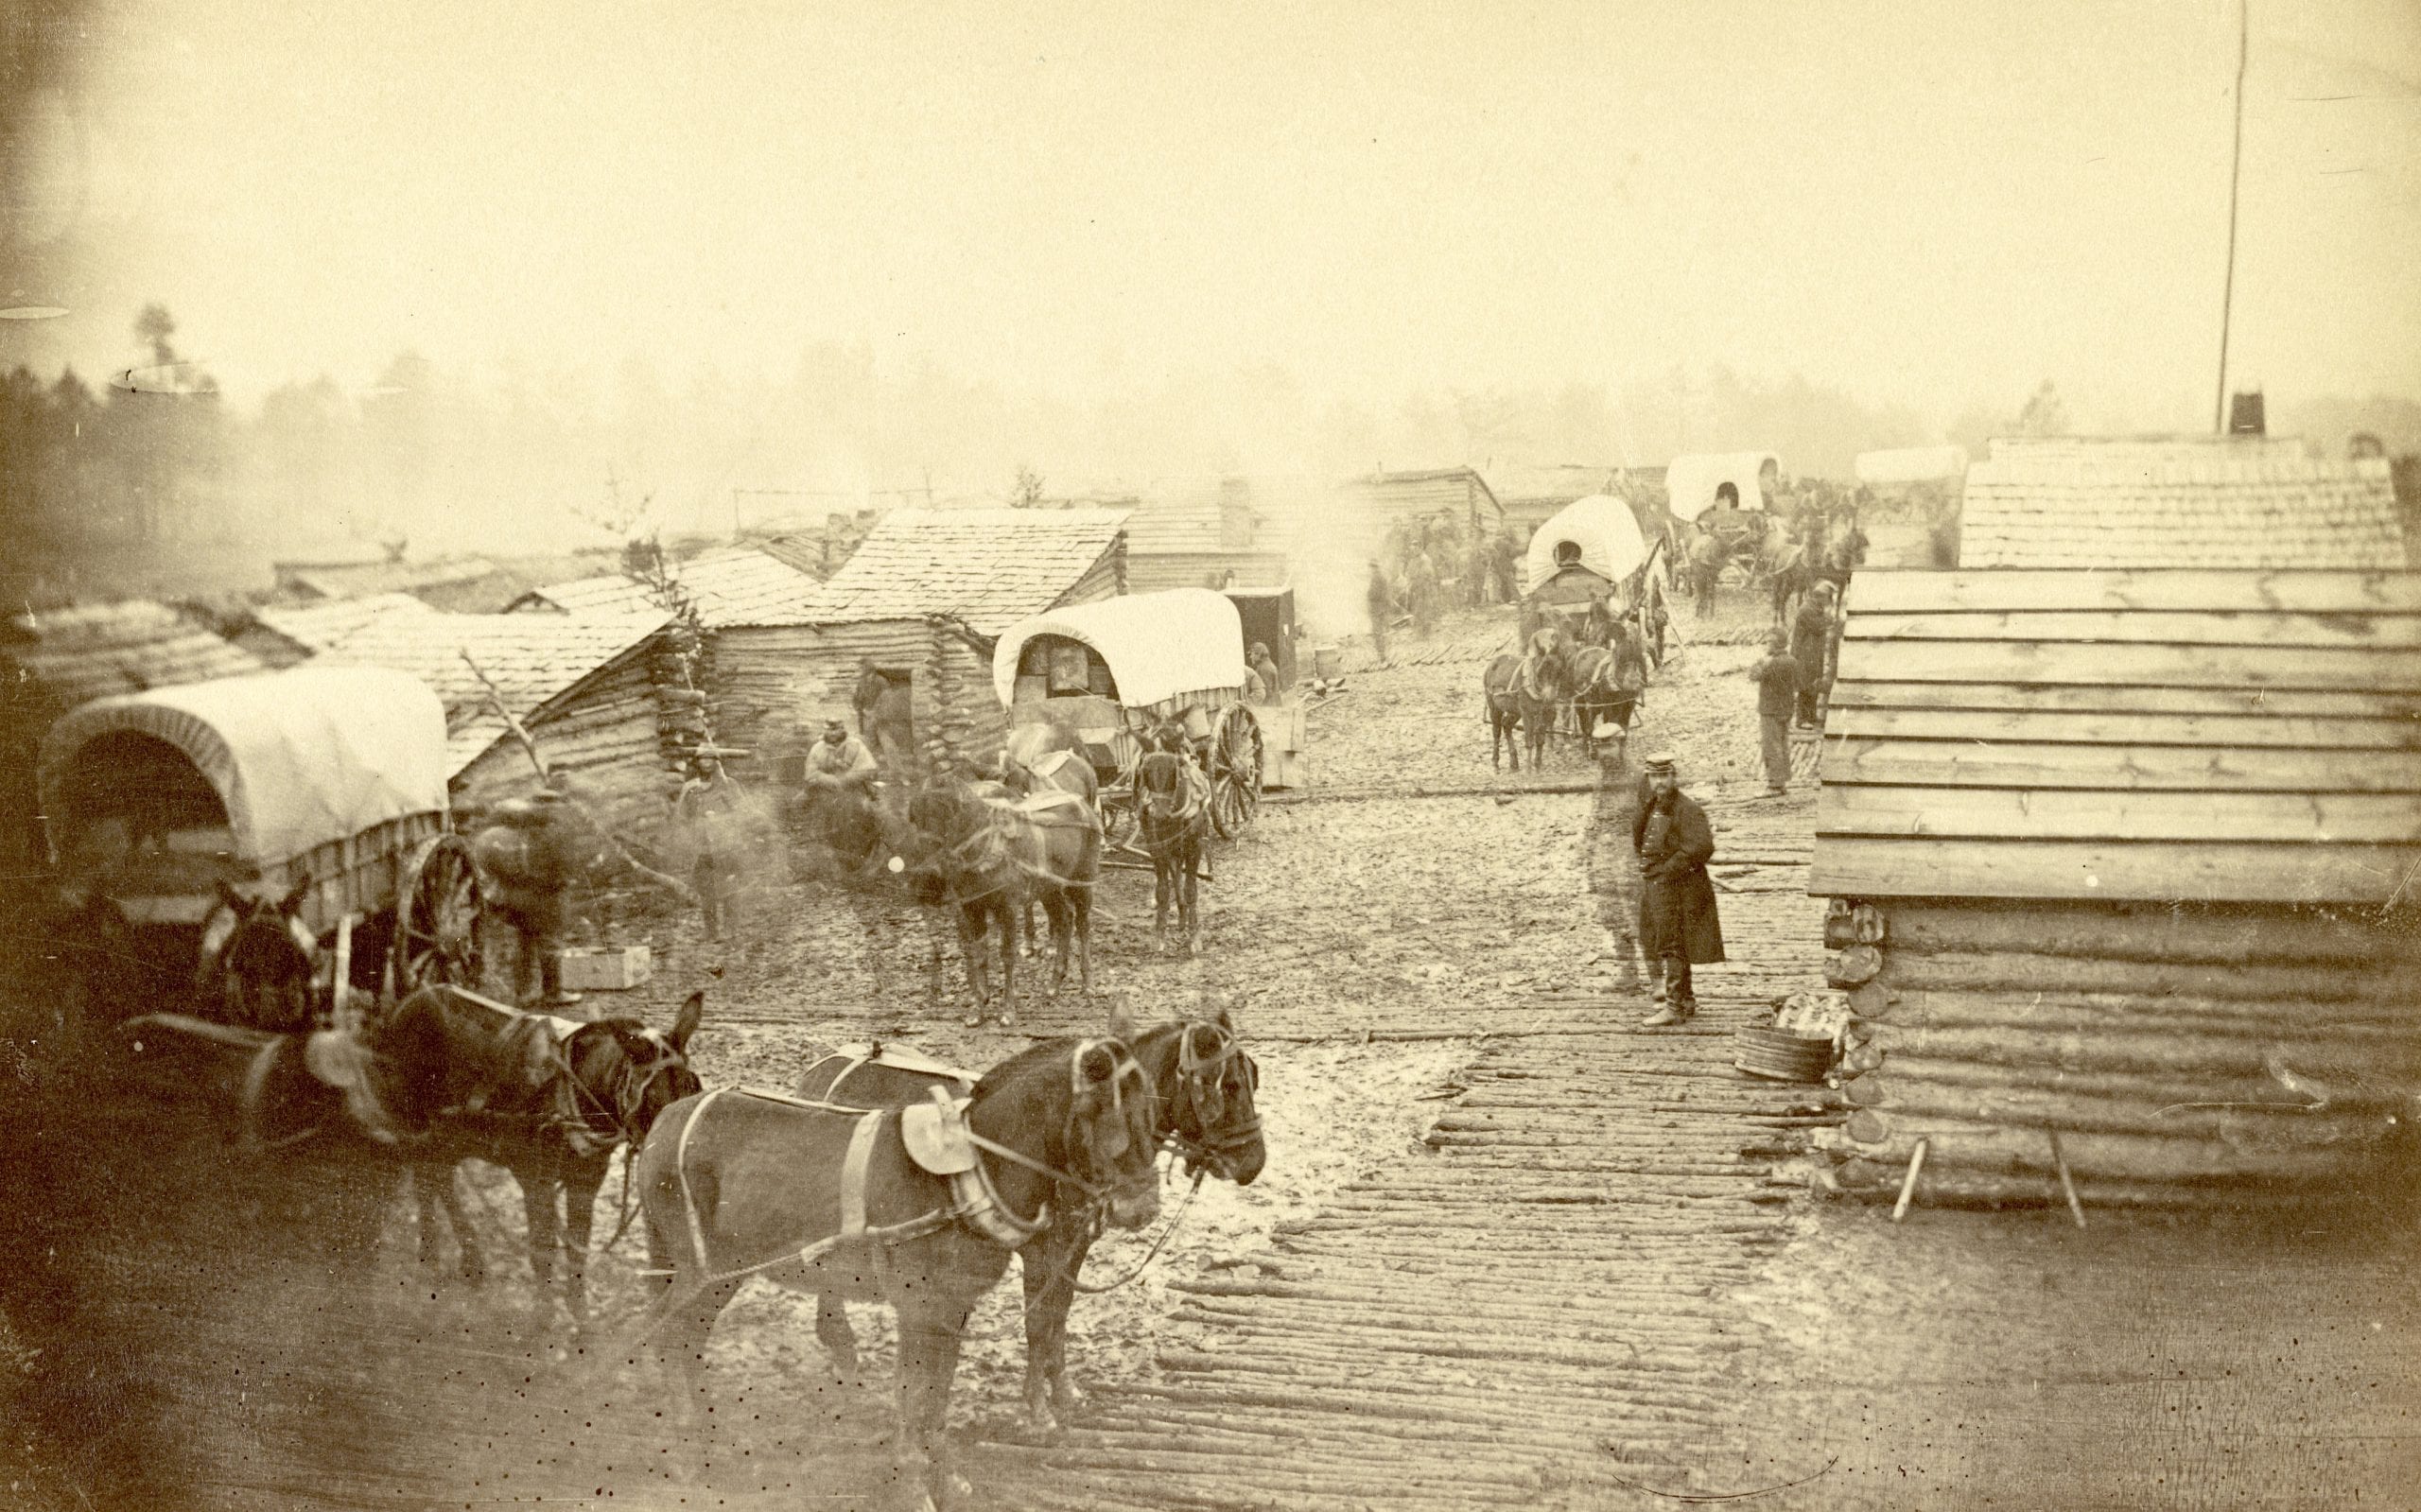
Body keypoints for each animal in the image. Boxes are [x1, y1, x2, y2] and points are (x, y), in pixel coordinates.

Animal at [374, 977, 702, 1315]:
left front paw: (579, 1314)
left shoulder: (586, 1181)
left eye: (692, 1087)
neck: (576, 1091)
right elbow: (542, 1255)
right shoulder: (535, 1181)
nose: (676, 1162)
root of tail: (403, 1005)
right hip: (418, 1125)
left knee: (436, 1179)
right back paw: (441, 1258)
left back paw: (457, 1258)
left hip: (449, 1133)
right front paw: (544, 1318)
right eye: (651, 1098)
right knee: (430, 1179)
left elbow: (577, 1251)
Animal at [634, 1030, 1161, 1500]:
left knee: (687, 1341)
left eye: (1153, 1111)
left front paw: (945, 1477)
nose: (1144, 1207)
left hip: (722, 1275)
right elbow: (915, 1398)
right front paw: (913, 1482)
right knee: (667, 1337)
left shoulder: (953, 1310)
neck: (970, 1173)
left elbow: (937, 1399)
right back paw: (686, 1445)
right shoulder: (922, 1310)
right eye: (1109, 1115)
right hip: (700, 1272)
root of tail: (663, 1122)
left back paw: (709, 1431)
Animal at [803, 1006, 1278, 1432]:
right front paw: (1037, 1407)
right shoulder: (1042, 1252)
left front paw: (1062, 1392)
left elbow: (1058, 1318)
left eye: (1252, 1078)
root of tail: (827, 1066)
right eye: (1229, 1085)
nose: (1253, 1163)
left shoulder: (1073, 1247)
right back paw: (841, 1345)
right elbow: (1039, 1323)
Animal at [1133, 750, 1210, 947]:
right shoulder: (1158, 849)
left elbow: (1191, 890)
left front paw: (1194, 936)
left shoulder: (1195, 848)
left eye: (1172, 774)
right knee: (1174, 877)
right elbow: (1163, 890)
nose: (1159, 813)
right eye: (1147, 773)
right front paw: (1160, 934)